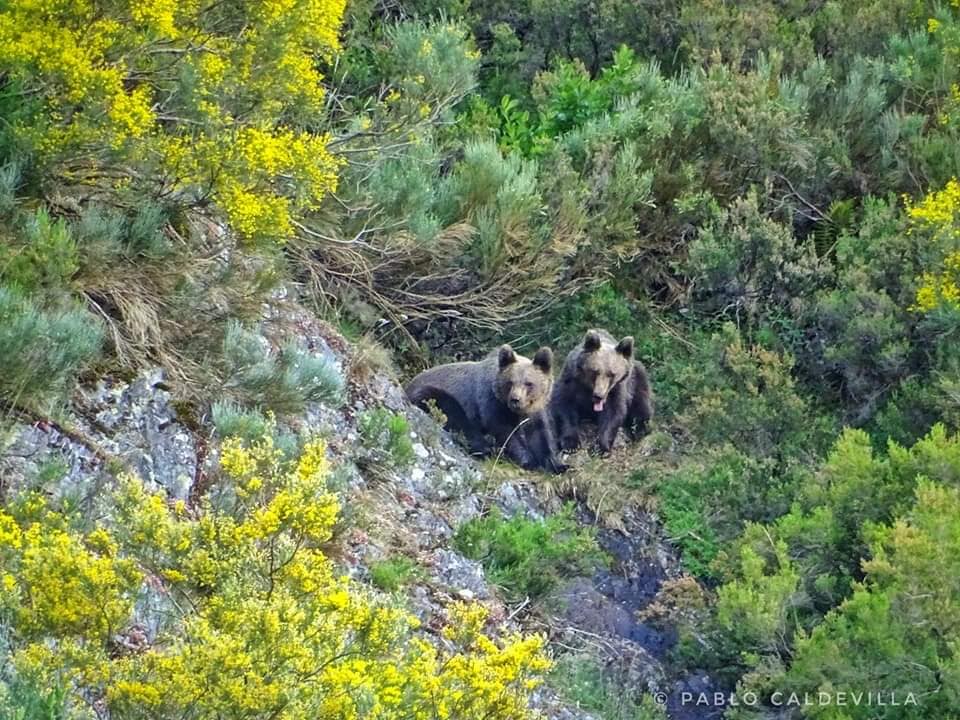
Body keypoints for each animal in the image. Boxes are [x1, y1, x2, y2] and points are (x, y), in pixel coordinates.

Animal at [404, 348, 568, 476]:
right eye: (510, 382)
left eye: (529, 383)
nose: (515, 399)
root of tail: (408, 385)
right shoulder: (492, 403)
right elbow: (505, 431)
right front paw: (528, 460)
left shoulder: (535, 412)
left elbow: (541, 435)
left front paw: (557, 464)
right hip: (434, 395)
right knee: (457, 418)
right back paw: (487, 449)